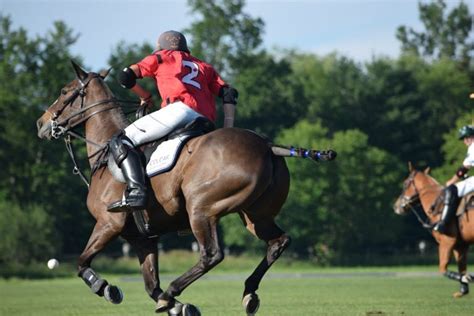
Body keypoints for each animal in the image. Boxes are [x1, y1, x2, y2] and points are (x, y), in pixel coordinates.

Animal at [36, 61, 334, 314]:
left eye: (64, 92)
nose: (41, 123)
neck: (104, 150)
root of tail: (268, 146)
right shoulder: (142, 237)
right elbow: (150, 284)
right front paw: (178, 307)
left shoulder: (109, 223)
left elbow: (81, 261)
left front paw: (106, 288)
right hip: (255, 215)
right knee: (277, 242)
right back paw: (249, 292)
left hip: (200, 208)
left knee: (211, 254)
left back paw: (174, 290)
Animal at [392, 164, 474, 298]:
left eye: (405, 183)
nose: (396, 206)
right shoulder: (460, 246)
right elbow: (462, 268)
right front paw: (463, 289)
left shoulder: (447, 241)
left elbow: (442, 269)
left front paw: (469, 278)